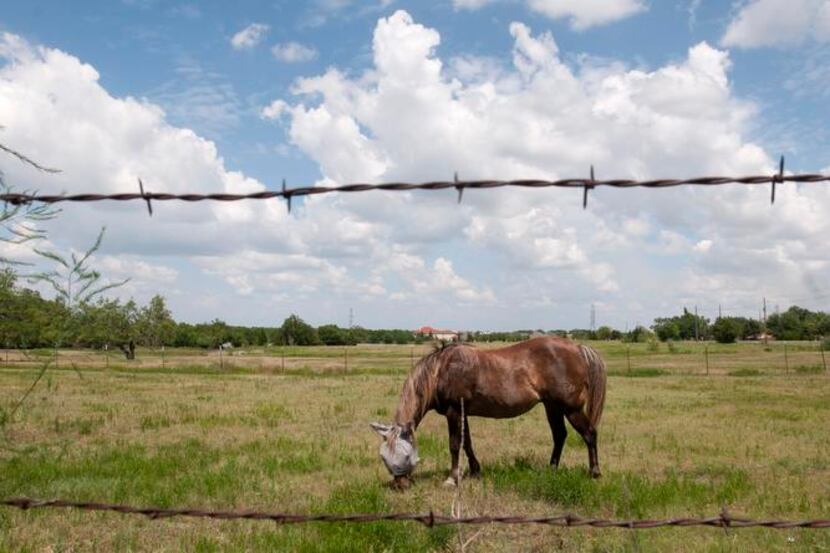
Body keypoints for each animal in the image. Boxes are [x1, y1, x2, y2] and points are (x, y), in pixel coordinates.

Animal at [374, 334, 608, 486]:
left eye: (405, 455)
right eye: (383, 457)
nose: (400, 484)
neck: (441, 371)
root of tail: (577, 348)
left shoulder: (453, 412)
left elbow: (455, 444)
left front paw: (452, 478)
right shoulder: (462, 413)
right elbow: (467, 443)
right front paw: (475, 471)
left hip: (571, 408)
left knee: (589, 434)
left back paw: (594, 472)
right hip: (552, 407)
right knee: (560, 435)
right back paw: (551, 470)